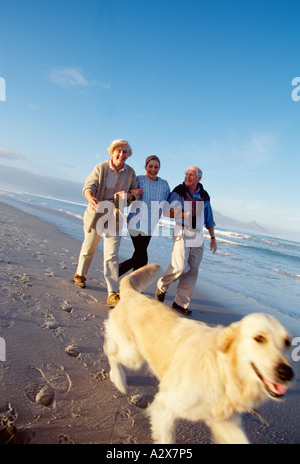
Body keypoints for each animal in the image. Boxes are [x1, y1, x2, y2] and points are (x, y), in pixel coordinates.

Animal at [103, 262, 292, 444]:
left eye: (287, 343)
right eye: (259, 338)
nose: (287, 373)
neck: (223, 371)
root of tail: (133, 293)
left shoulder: (225, 423)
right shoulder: (164, 407)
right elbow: (167, 439)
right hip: (132, 355)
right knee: (109, 351)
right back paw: (118, 379)